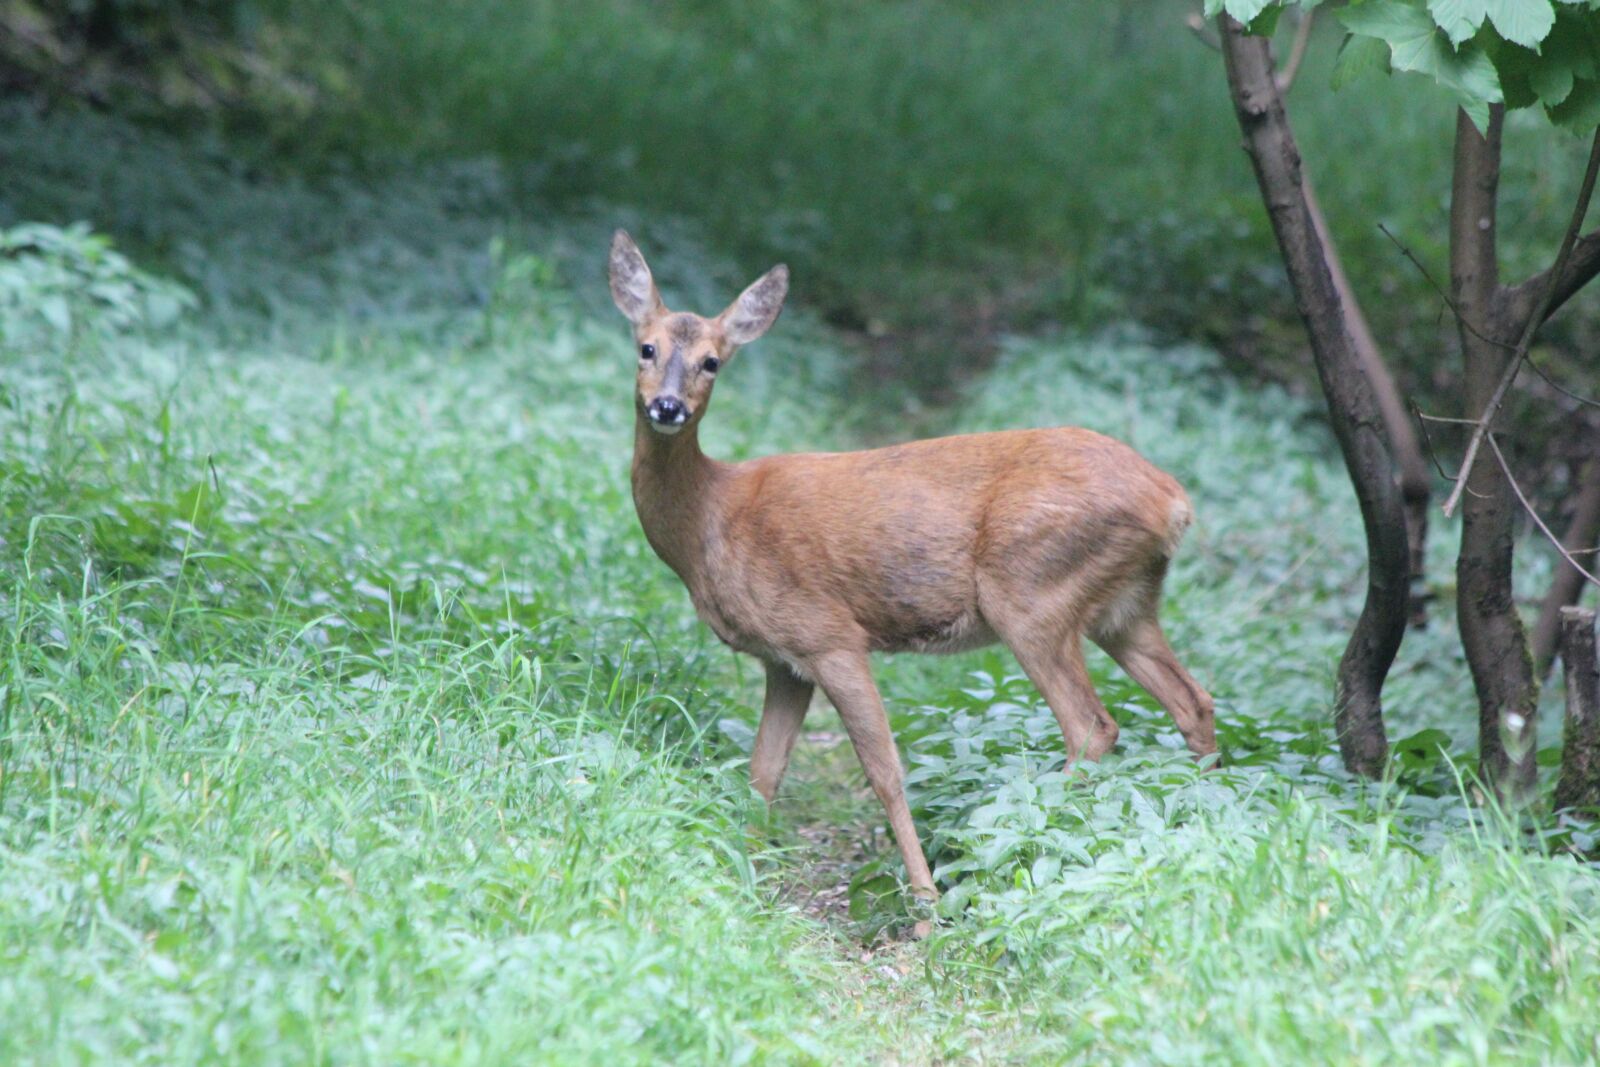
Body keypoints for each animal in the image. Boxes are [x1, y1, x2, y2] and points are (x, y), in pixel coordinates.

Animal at [609, 229, 1216, 917]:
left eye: (713, 361)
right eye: (646, 347)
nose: (667, 407)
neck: (712, 519)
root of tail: (1172, 501)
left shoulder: (829, 634)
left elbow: (885, 772)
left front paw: (925, 908)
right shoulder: (784, 661)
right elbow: (763, 772)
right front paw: (744, 877)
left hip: (1031, 592)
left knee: (1093, 727)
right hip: (1125, 604)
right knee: (1192, 701)